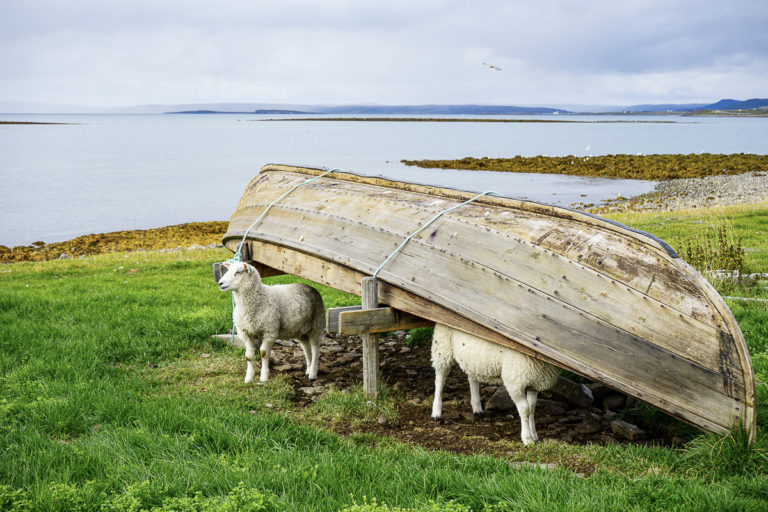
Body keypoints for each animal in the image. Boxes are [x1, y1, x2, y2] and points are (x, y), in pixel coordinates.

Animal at [430, 324, 560, 445]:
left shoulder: (533, 384)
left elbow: (532, 409)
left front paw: (534, 436)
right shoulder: (515, 384)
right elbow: (525, 411)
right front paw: (527, 439)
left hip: (471, 358)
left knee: (472, 378)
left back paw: (477, 408)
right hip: (443, 347)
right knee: (440, 378)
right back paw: (436, 412)